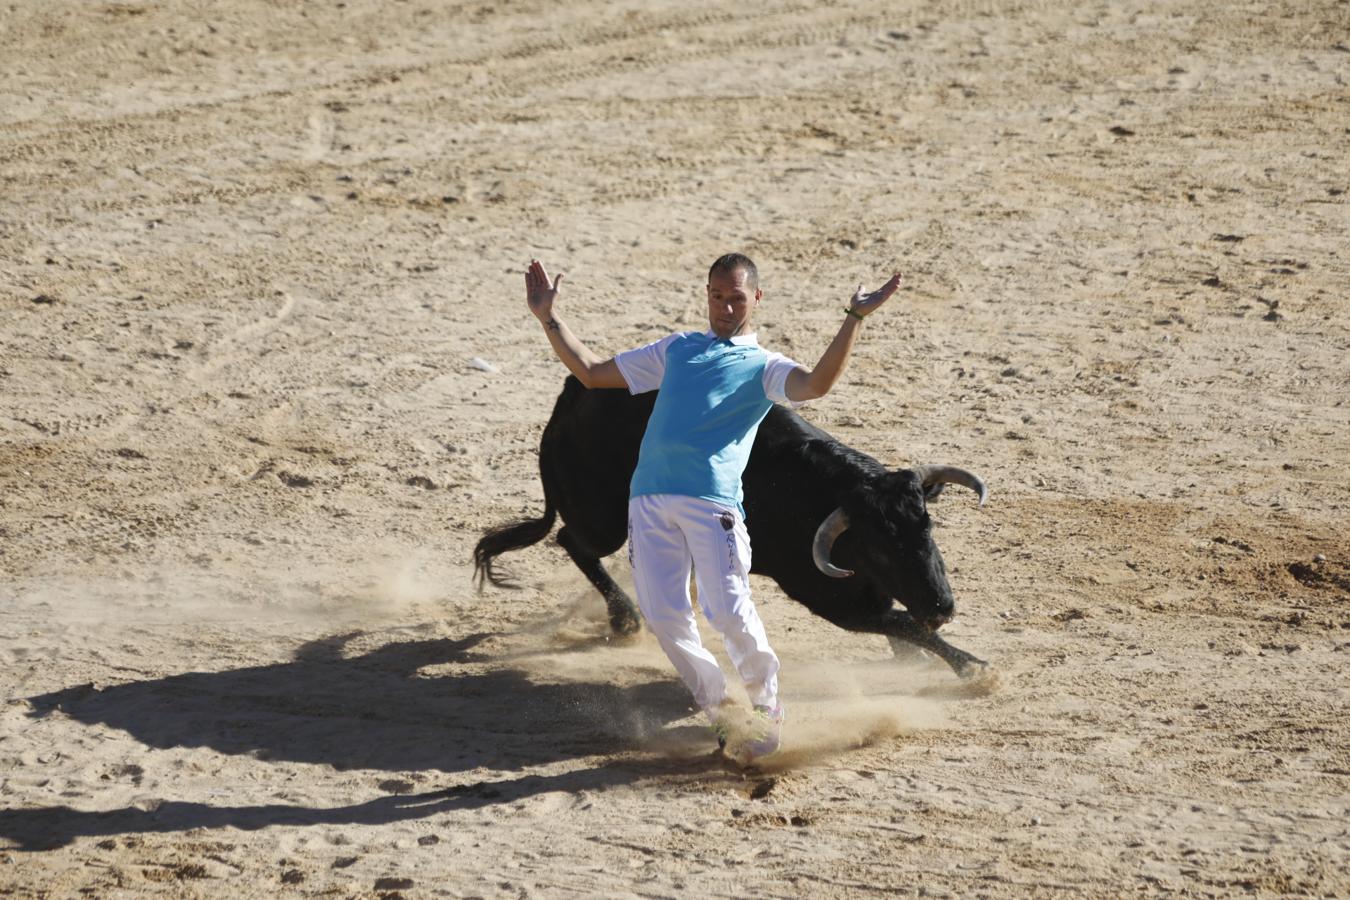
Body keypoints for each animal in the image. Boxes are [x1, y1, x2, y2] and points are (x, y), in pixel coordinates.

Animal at [477, 377, 993, 680]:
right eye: (880, 549)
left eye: (928, 529)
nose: (942, 608)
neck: (821, 491)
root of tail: (574, 394)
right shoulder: (830, 600)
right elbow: (902, 621)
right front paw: (974, 669)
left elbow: (900, 622)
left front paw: (917, 661)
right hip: (603, 519)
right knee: (572, 540)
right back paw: (625, 619)